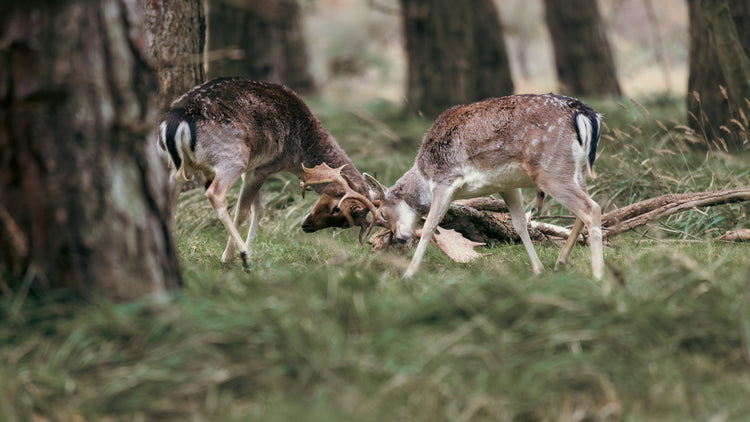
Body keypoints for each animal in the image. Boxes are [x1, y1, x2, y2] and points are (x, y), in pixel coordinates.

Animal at [157, 77, 378, 270]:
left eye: (345, 224)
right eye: (337, 209)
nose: (306, 226)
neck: (298, 151)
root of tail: (176, 120)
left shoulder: (252, 168)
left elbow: (259, 208)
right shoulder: (265, 166)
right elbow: (243, 211)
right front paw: (230, 257)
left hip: (170, 162)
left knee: (168, 199)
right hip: (233, 159)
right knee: (214, 193)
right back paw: (244, 256)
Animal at [362, 93, 604, 279]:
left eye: (383, 213)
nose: (400, 238)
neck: (424, 175)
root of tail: (585, 113)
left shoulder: (446, 179)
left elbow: (430, 224)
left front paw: (409, 273)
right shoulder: (508, 185)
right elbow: (519, 224)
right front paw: (538, 269)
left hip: (550, 170)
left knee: (592, 208)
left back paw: (598, 276)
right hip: (578, 171)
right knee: (583, 209)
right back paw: (561, 261)